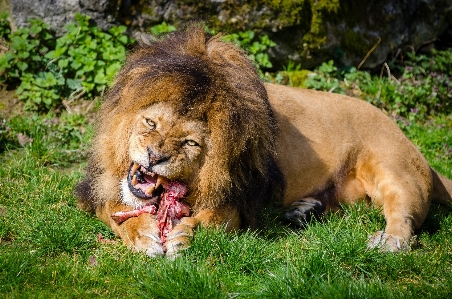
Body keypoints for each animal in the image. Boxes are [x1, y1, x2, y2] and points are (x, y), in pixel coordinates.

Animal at [75, 24, 452, 258]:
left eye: (190, 143)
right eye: (150, 122)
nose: (154, 157)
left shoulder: (240, 202)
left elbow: (211, 219)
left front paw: (184, 234)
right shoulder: (97, 189)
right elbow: (117, 212)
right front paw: (143, 235)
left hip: (394, 169)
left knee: (404, 217)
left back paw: (388, 241)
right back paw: (303, 210)